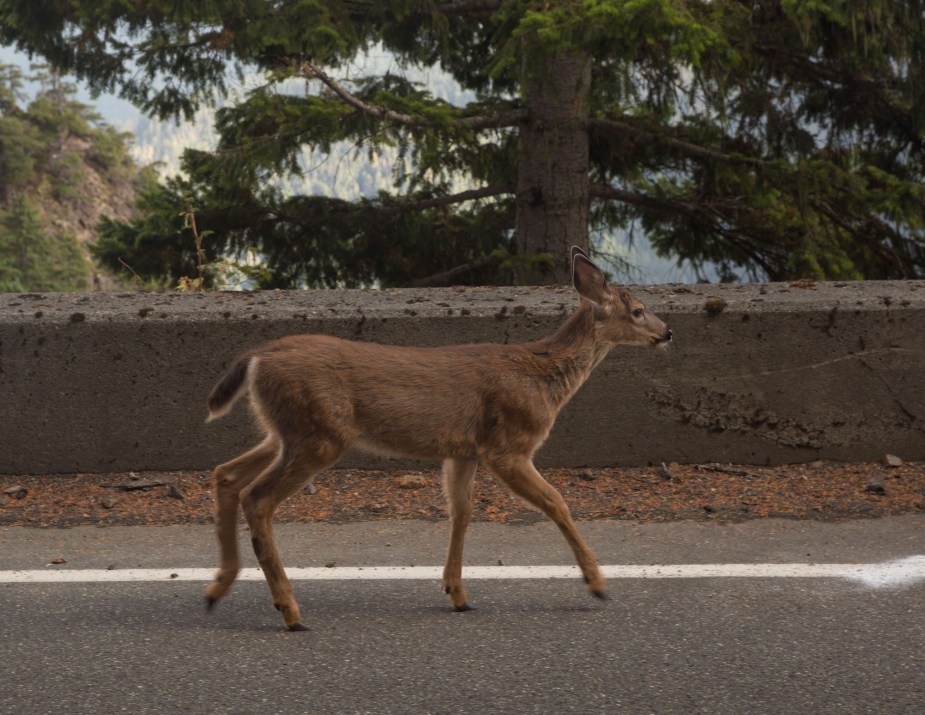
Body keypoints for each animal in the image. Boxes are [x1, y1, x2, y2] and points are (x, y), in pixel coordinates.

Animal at [202, 248, 668, 632]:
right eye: (639, 310)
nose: (667, 333)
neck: (542, 378)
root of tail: (257, 357)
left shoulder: (463, 451)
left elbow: (461, 511)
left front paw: (457, 593)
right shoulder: (509, 446)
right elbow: (557, 502)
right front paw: (597, 583)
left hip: (286, 431)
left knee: (226, 474)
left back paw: (217, 589)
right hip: (319, 434)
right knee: (256, 497)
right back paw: (290, 611)